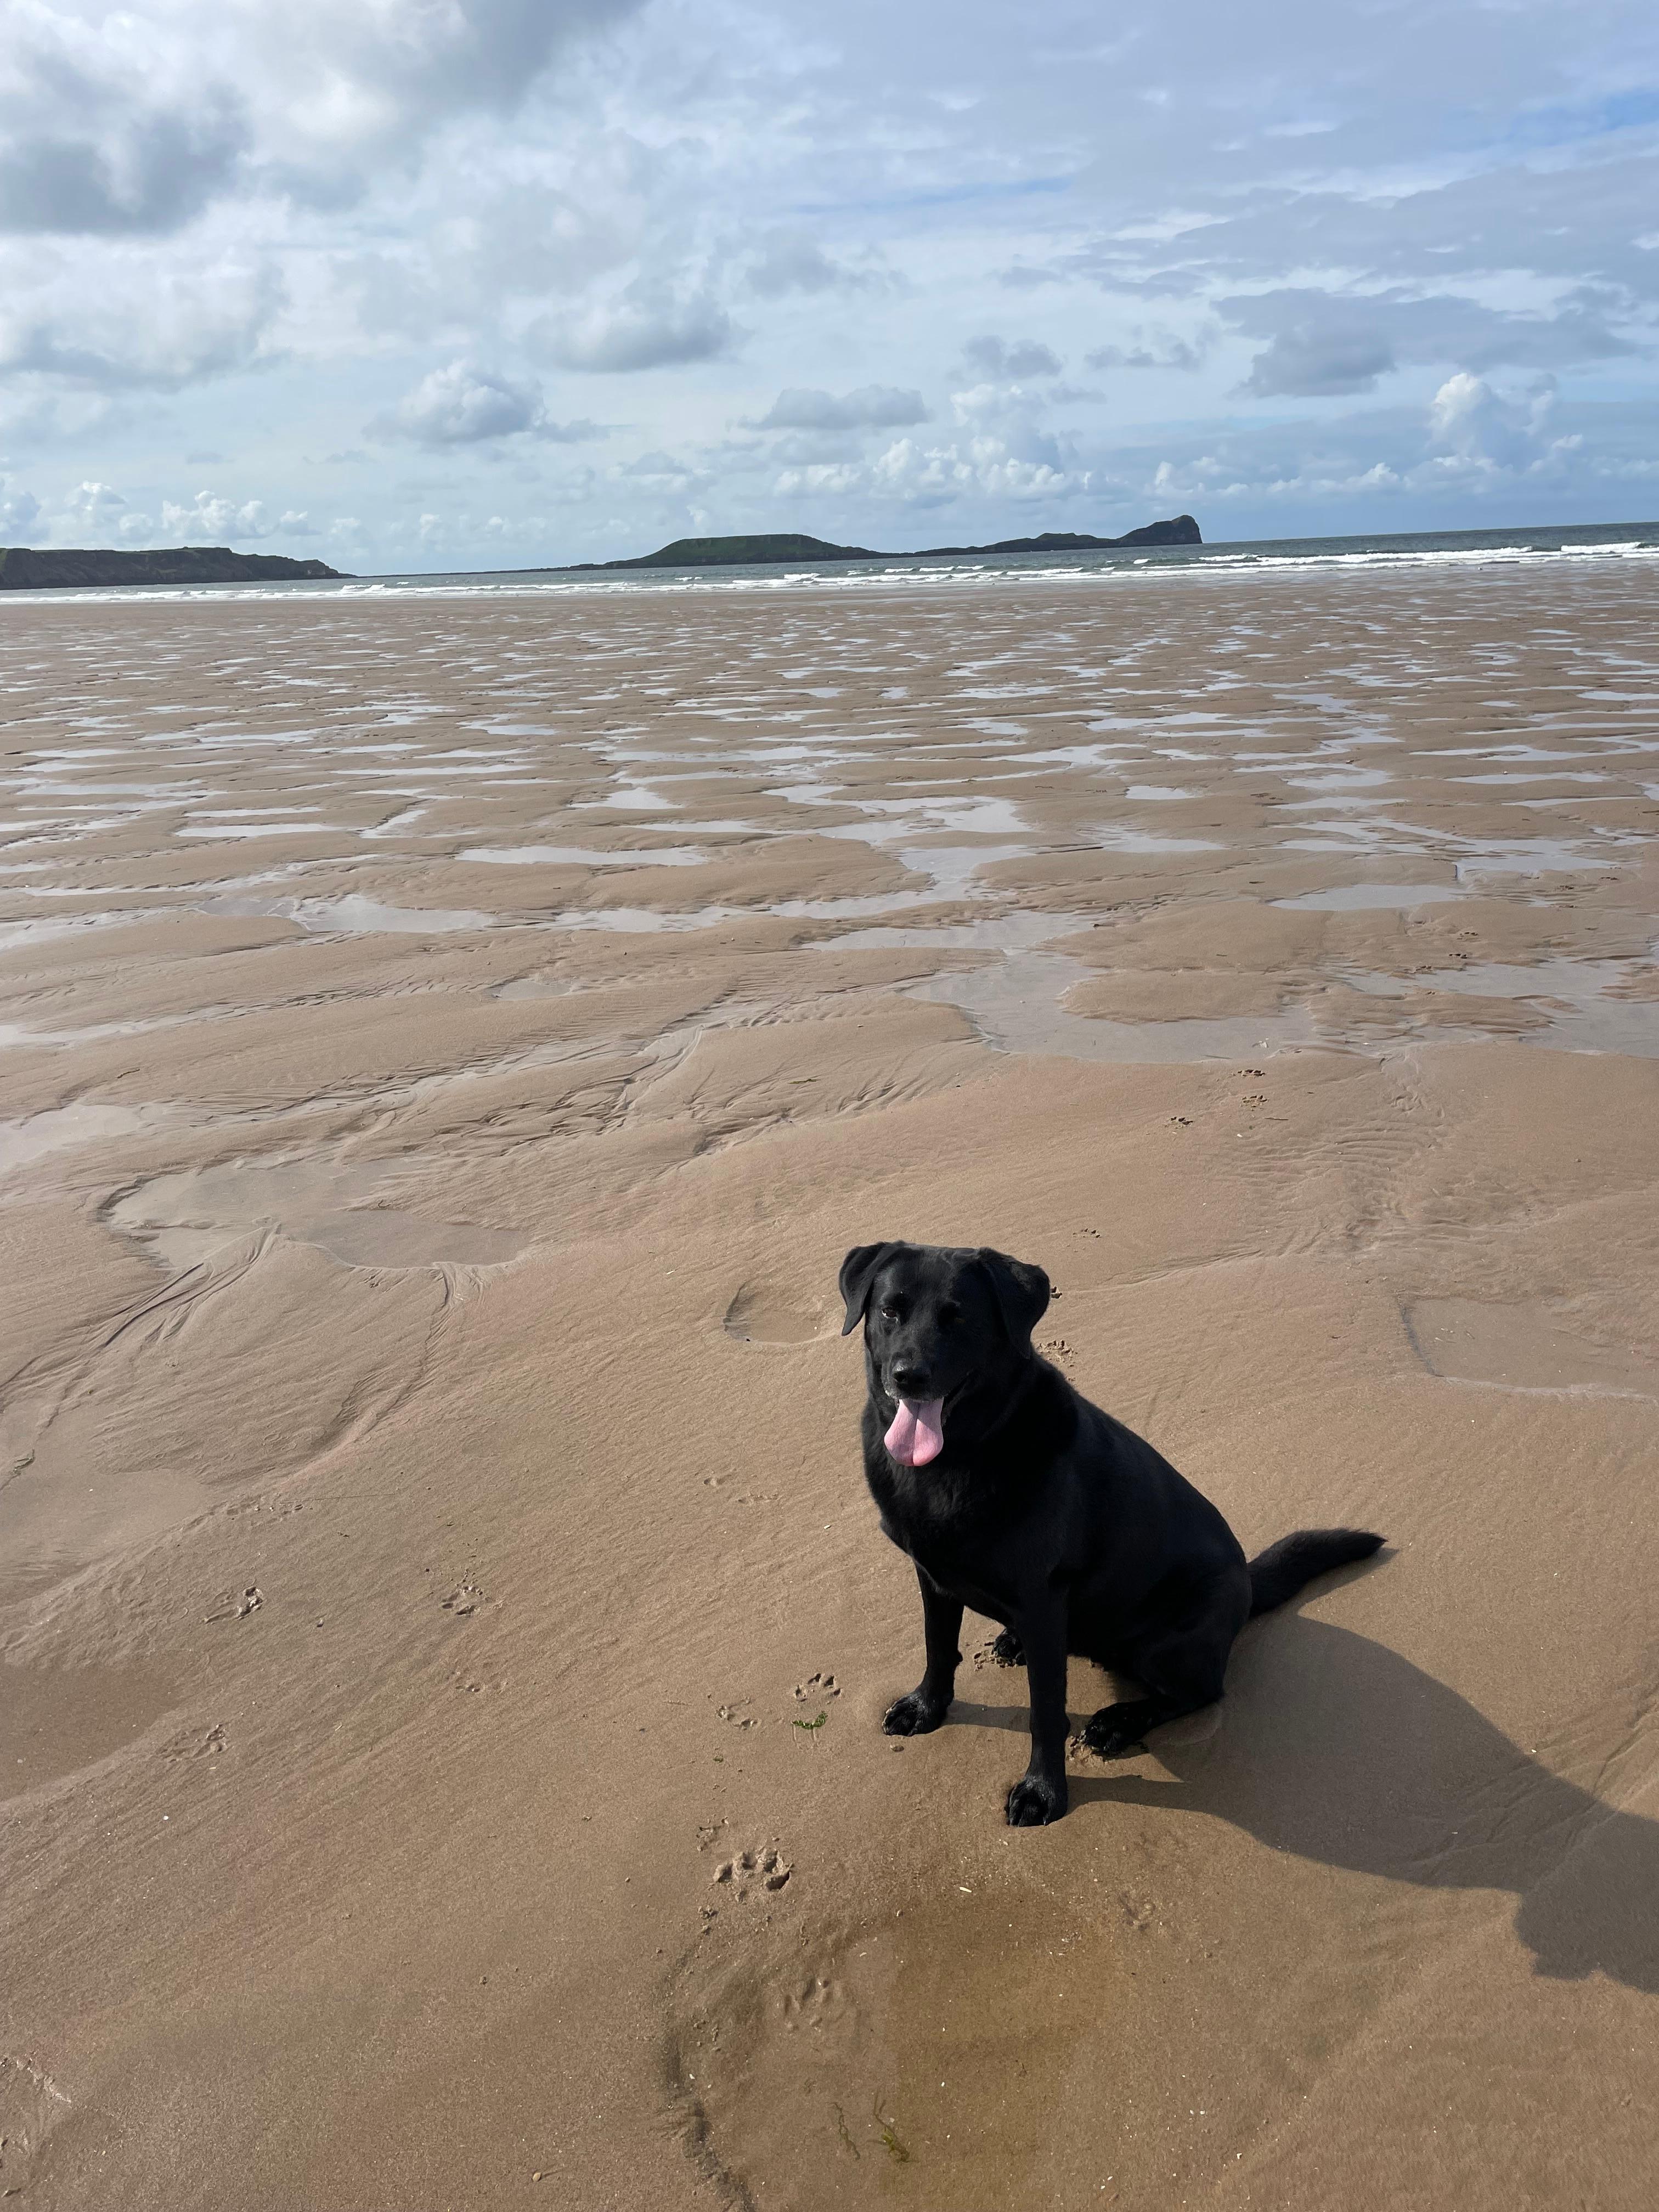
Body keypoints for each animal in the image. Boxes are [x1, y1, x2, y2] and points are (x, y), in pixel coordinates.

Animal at [836, 1238, 1380, 1822]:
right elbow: (939, 1650)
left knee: (1201, 1693)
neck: (956, 1460)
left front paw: (1043, 1791)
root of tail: (1250, 1584)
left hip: (1168, 1644)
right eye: (890, 1311)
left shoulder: (1042, 1602)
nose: (907, 1375)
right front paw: (925, 1709)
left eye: (958, 1318)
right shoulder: (933, 1577)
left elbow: (1046, 1711)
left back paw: (1119, 1721)